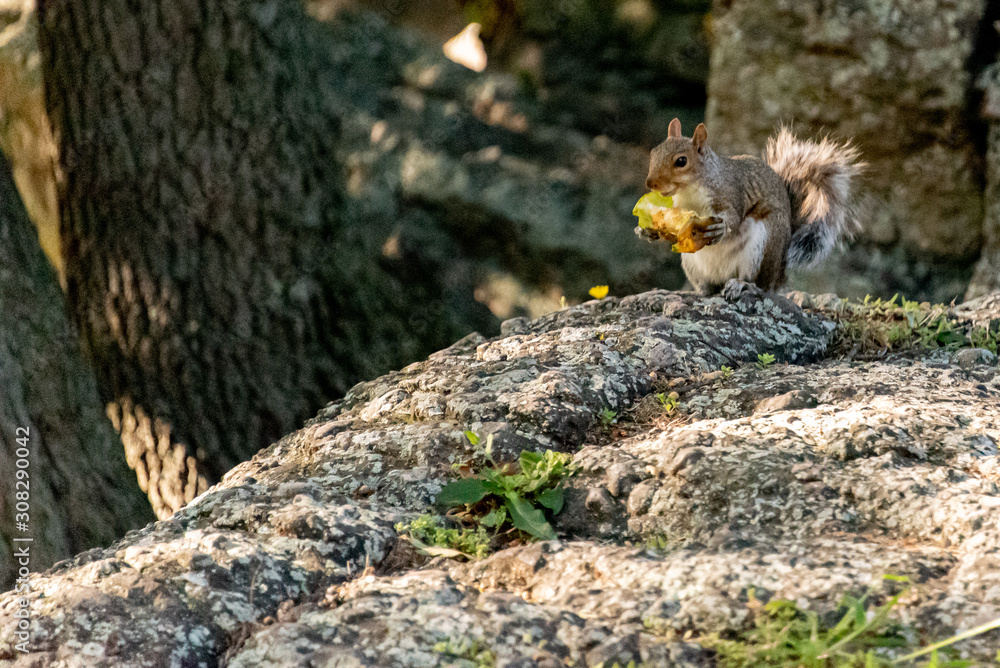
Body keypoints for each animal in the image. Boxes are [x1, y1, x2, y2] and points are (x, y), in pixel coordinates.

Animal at [641, 118, 863, 297]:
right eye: (654, 153)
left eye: (681, 161)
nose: (650, 183)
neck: (689, 191)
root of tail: (778, 277)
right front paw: (646, 231)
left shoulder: (731, 194)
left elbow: (733, 217)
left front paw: (721, 228)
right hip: (691, 261)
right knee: (709, 287)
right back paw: (697, 291)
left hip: (761, 247)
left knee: (758, 285)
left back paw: (742, 285)